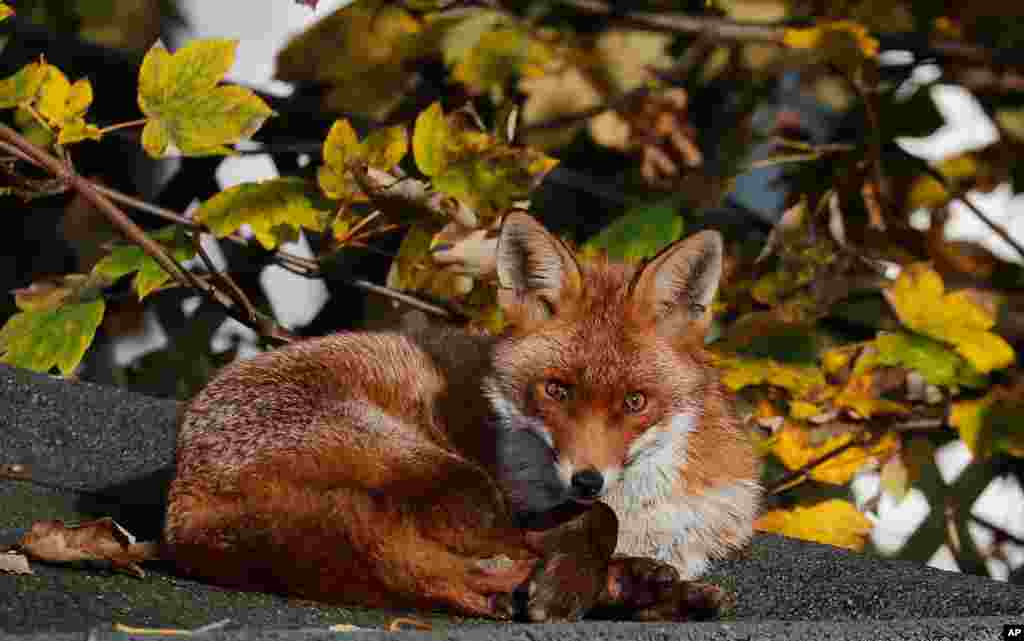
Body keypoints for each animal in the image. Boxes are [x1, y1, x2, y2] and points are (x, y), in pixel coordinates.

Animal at [163, 211, 761, 622]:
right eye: (556, 390)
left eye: (636, 402)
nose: (586, 480)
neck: (642, 513)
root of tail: (182, 507)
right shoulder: (527, 501)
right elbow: (594, 521)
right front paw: (570, 585)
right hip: (449, 473)